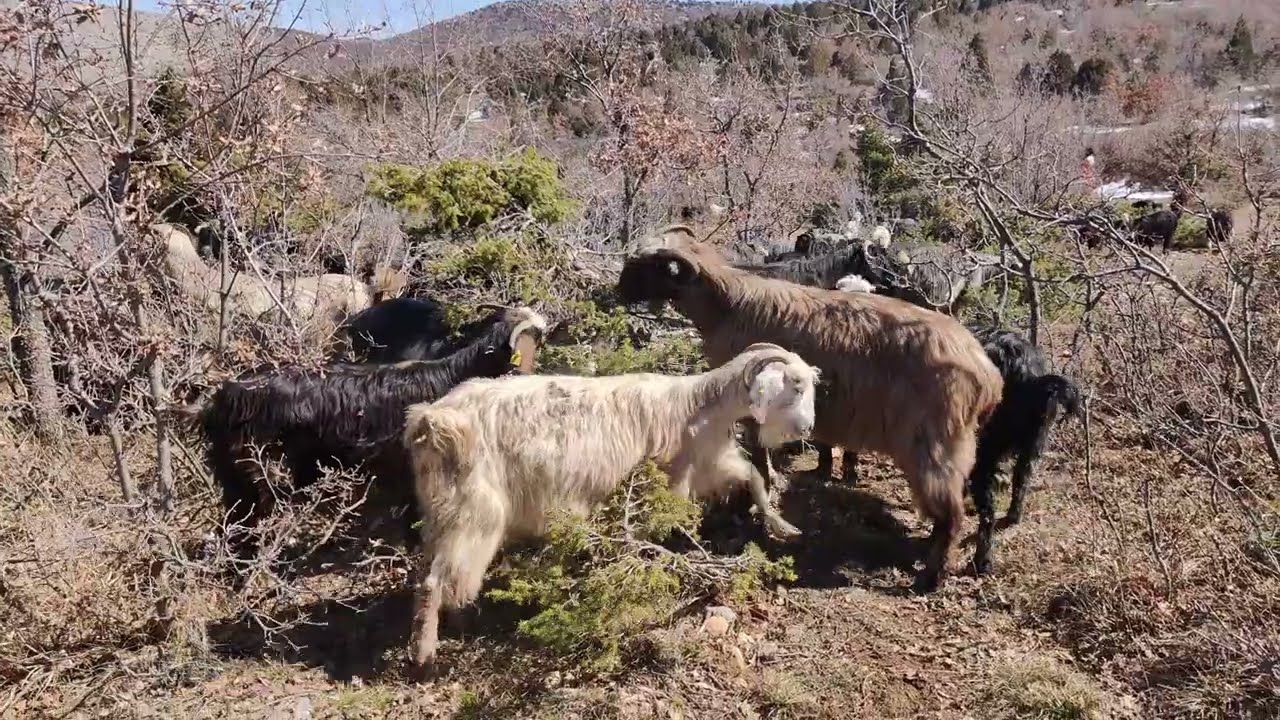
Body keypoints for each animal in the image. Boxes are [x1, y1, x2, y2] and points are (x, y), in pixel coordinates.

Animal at [402, 343, 820, 668]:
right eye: (796, 385)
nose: (807, 429)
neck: (697, 407)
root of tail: (432, 422)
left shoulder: (711, 466)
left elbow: (753, 477)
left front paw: (783, 526)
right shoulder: (671, 479)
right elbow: (656, 530)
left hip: (443, 511)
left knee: (432, 573)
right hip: (474, 512)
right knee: (437, 579)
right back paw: (427, 656)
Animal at [617, 225, 1004, 591]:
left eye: (647, 265)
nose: (618, 291)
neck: (728, 304)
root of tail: (988, 376)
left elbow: (758, 462)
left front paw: (753, 506)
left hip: (933, 444)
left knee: (952, 515)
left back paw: (930, 578)